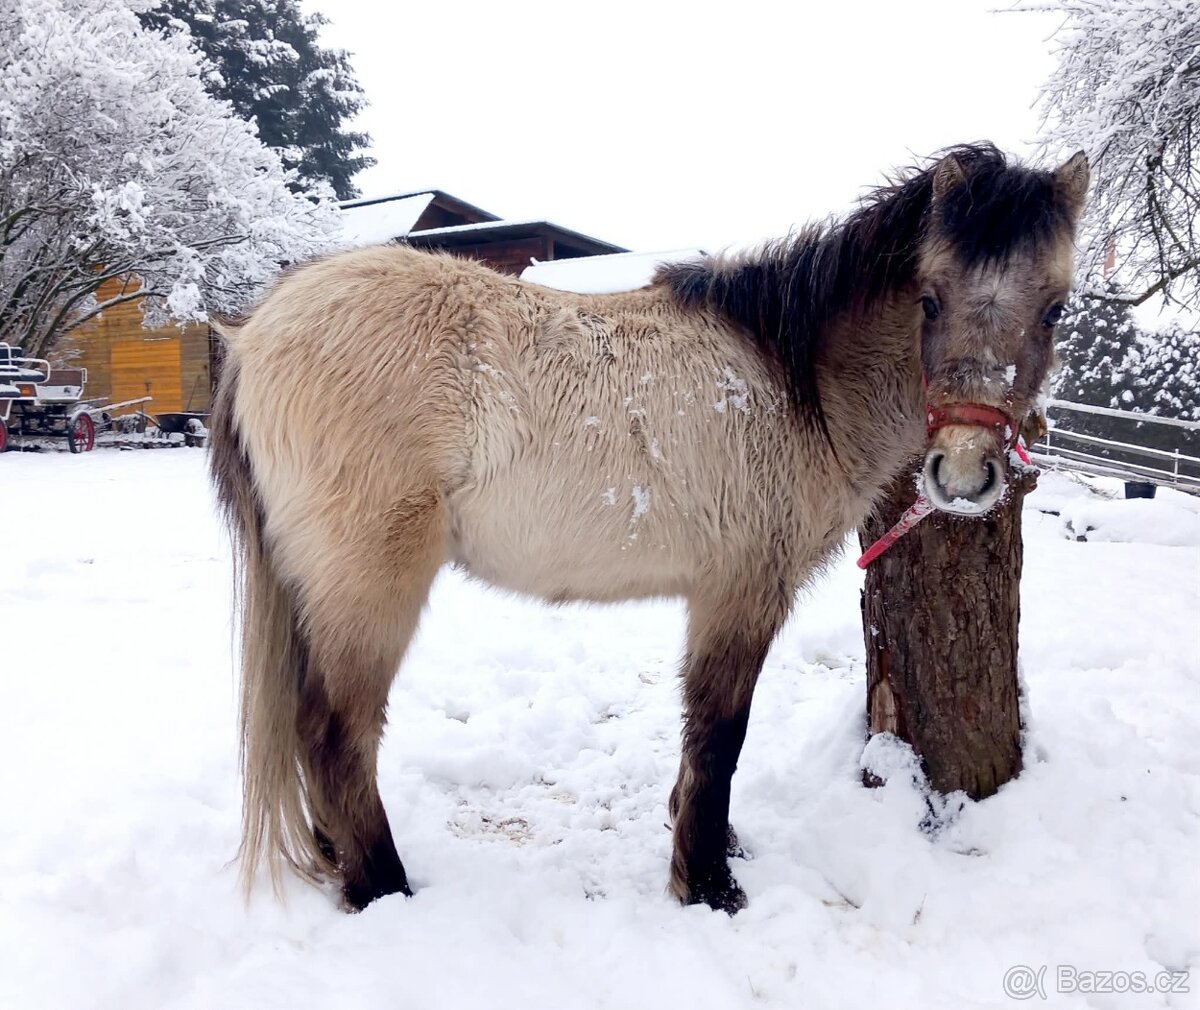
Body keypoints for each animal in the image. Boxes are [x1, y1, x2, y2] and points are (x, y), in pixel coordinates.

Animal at [210, 143, 1089, 914]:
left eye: (1054, 309)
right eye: (929, 299)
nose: (963, 473)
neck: (798, 380)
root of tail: (257, 332)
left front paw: (712, 847)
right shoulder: (740, 593)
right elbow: (719, 736)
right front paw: (706, 884)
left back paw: (336, 855)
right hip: (370, 585)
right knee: (334, 733)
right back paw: (382, 887)